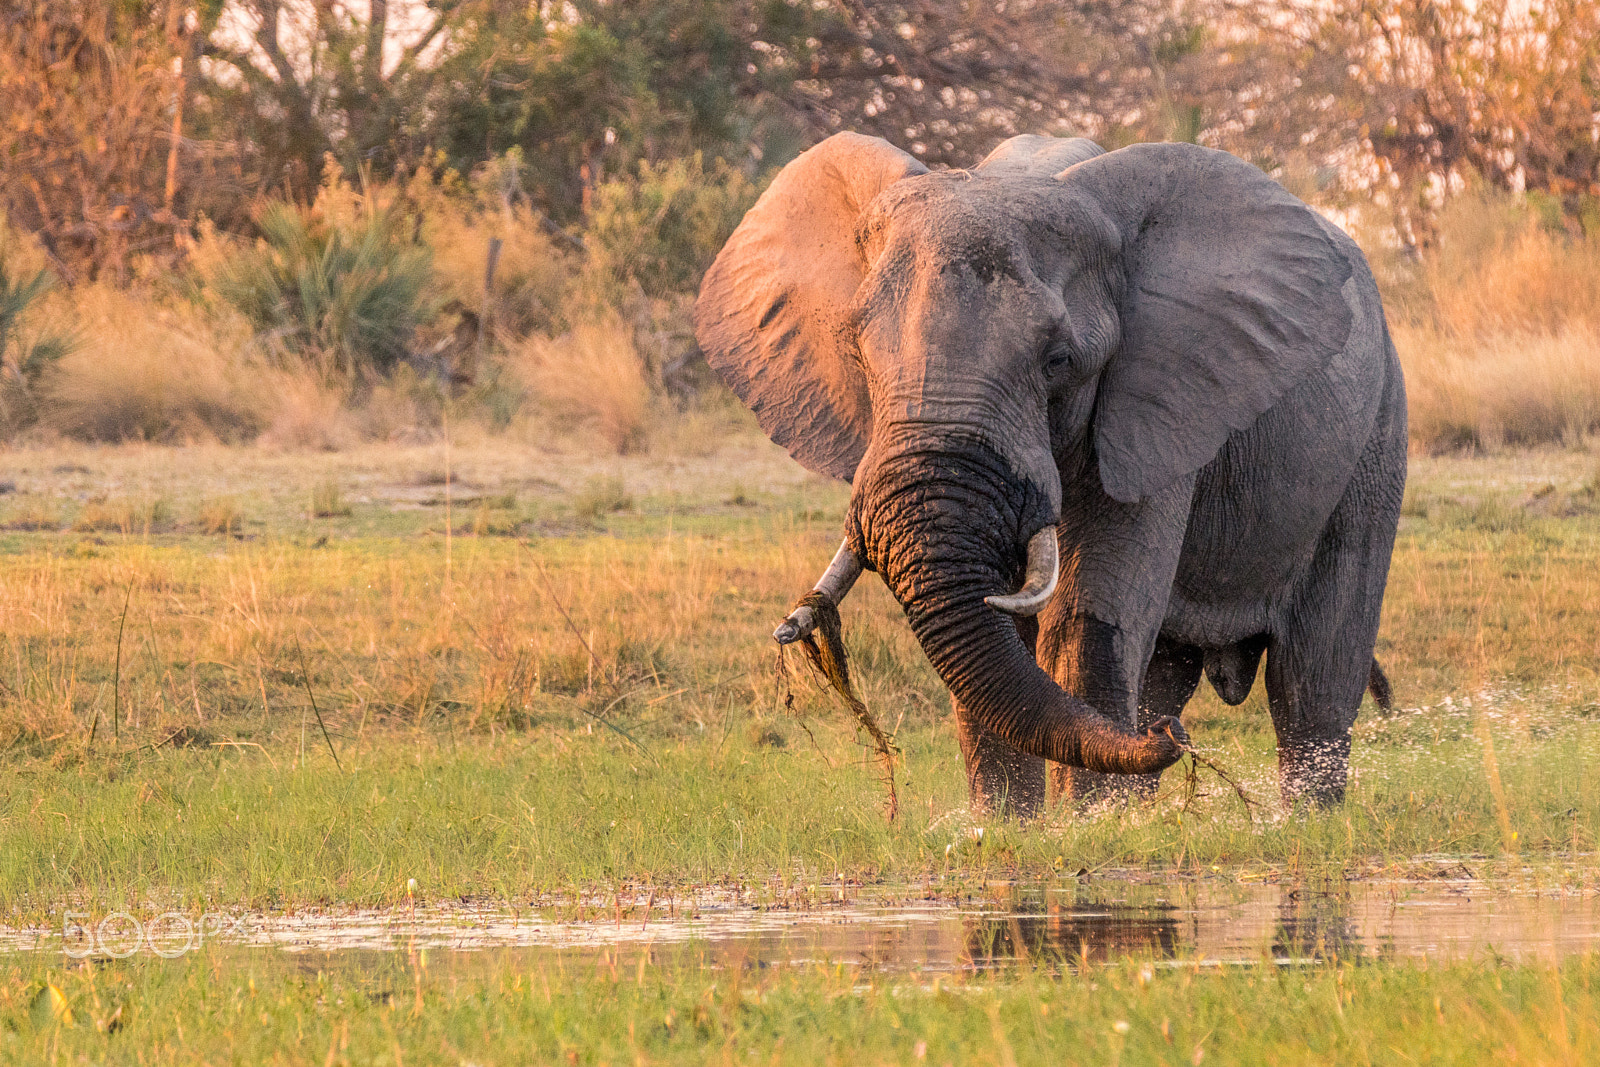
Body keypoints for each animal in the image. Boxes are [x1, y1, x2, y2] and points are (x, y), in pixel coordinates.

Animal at [694, 135, 1408, 819]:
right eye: (857, 351)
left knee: (1313, 677)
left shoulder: (1154, 403)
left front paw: (1084, 829)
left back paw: (1300, 819)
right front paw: (1010, 828)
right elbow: (996, 629)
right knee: (1167, 669)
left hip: (1376, 434)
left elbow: (1082, 622)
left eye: (1059, 361)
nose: (1175, 741)